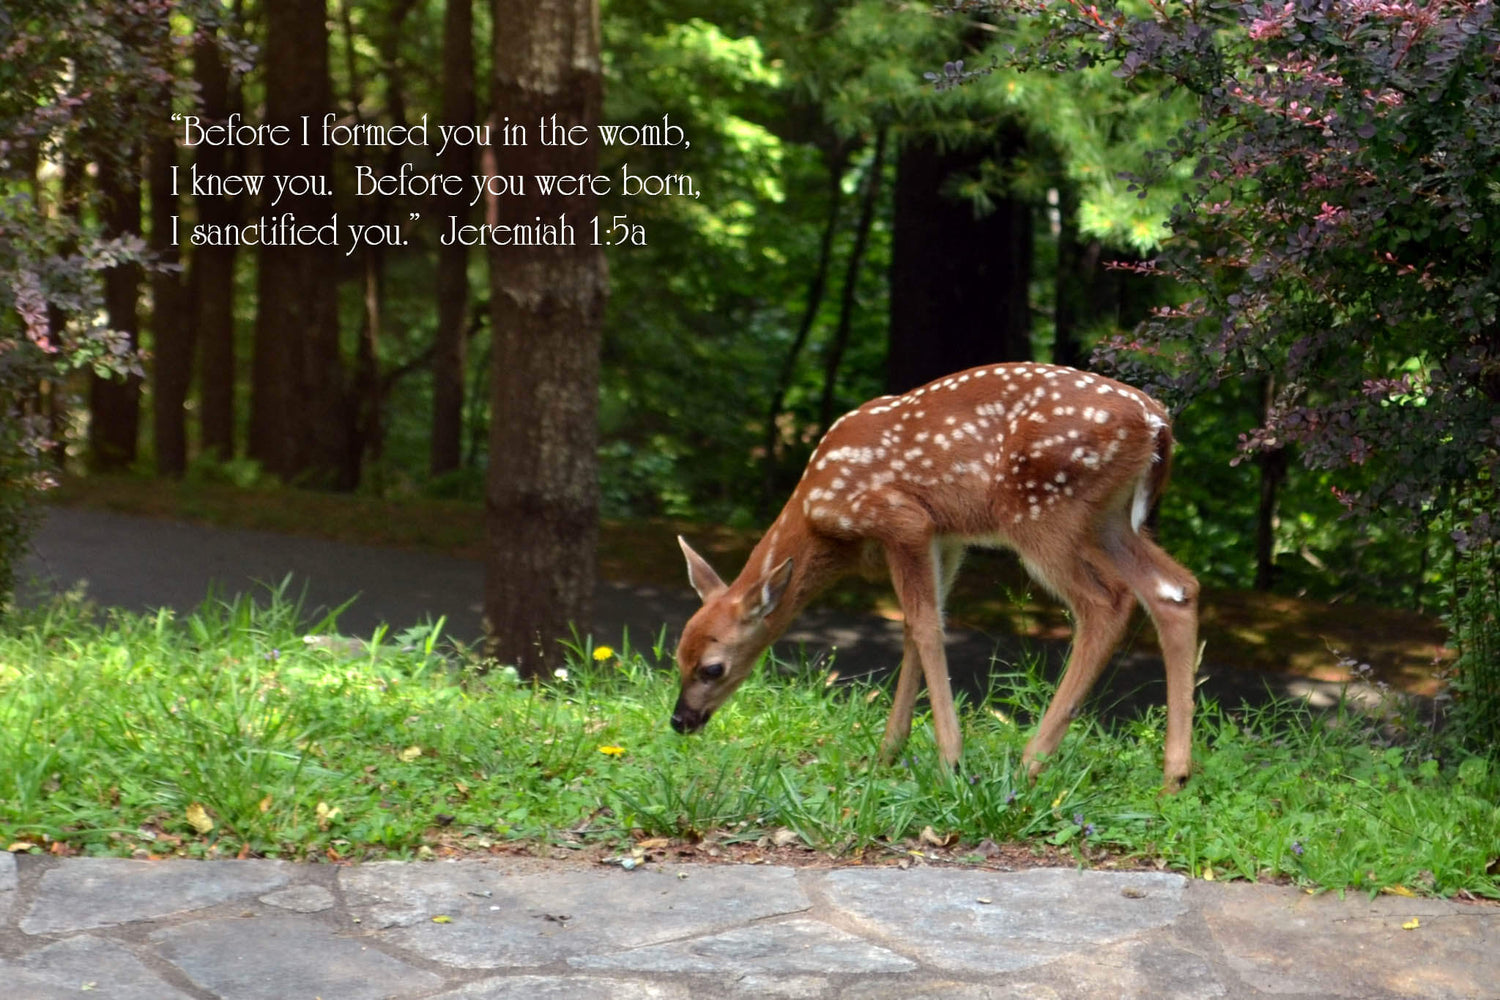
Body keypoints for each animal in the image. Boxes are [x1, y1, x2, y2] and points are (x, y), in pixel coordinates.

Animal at [671, 362, 1201, 791]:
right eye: (678, 657)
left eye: (713, 668)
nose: (679, 720)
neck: (819, 512)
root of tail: (1156, 421)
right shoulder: (946, 537)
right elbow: (914, 626)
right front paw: (889, 752)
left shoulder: (902, 519)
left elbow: (926, 628)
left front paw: (950, 760)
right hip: (1110, 518)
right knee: (1175, 588)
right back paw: (1174, 777)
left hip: (1043, 509)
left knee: (1107, 602)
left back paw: (1031, 762)